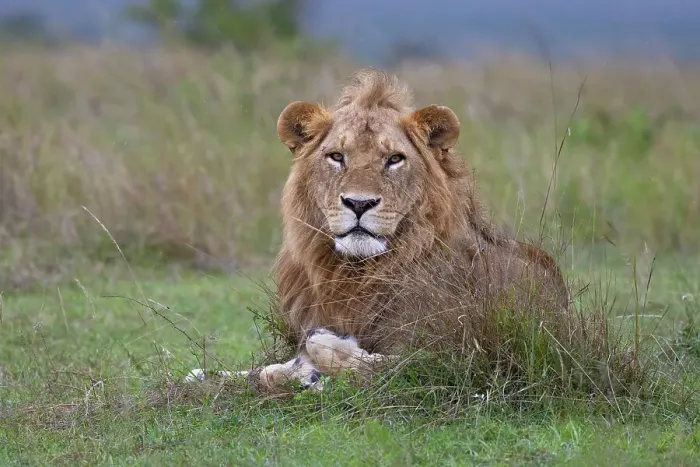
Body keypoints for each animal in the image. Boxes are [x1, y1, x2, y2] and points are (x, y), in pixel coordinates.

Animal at [187, 68, 570, 393]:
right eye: (337, 156)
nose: (359, 203)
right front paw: (210, 374)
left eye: (395, 159)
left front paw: (313, 367)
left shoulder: (456, 354)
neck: (353, 275)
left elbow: (348, 356)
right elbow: (256, 371)